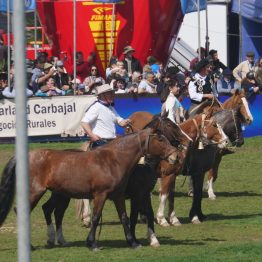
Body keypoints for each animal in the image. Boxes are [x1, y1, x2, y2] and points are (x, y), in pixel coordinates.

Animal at [0, 118, 179, 250]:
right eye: (160, 138)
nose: (175, 156)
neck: (114, 160)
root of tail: (25, 156)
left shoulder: (119, 196)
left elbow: (125, 217)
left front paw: (133, 242)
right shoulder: (103, 195)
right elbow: (95, 217)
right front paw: (92, 243)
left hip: (61, 195)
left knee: (52, 211)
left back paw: (57, 240)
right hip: (36, 192)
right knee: (25, 211)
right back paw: (30, 245)